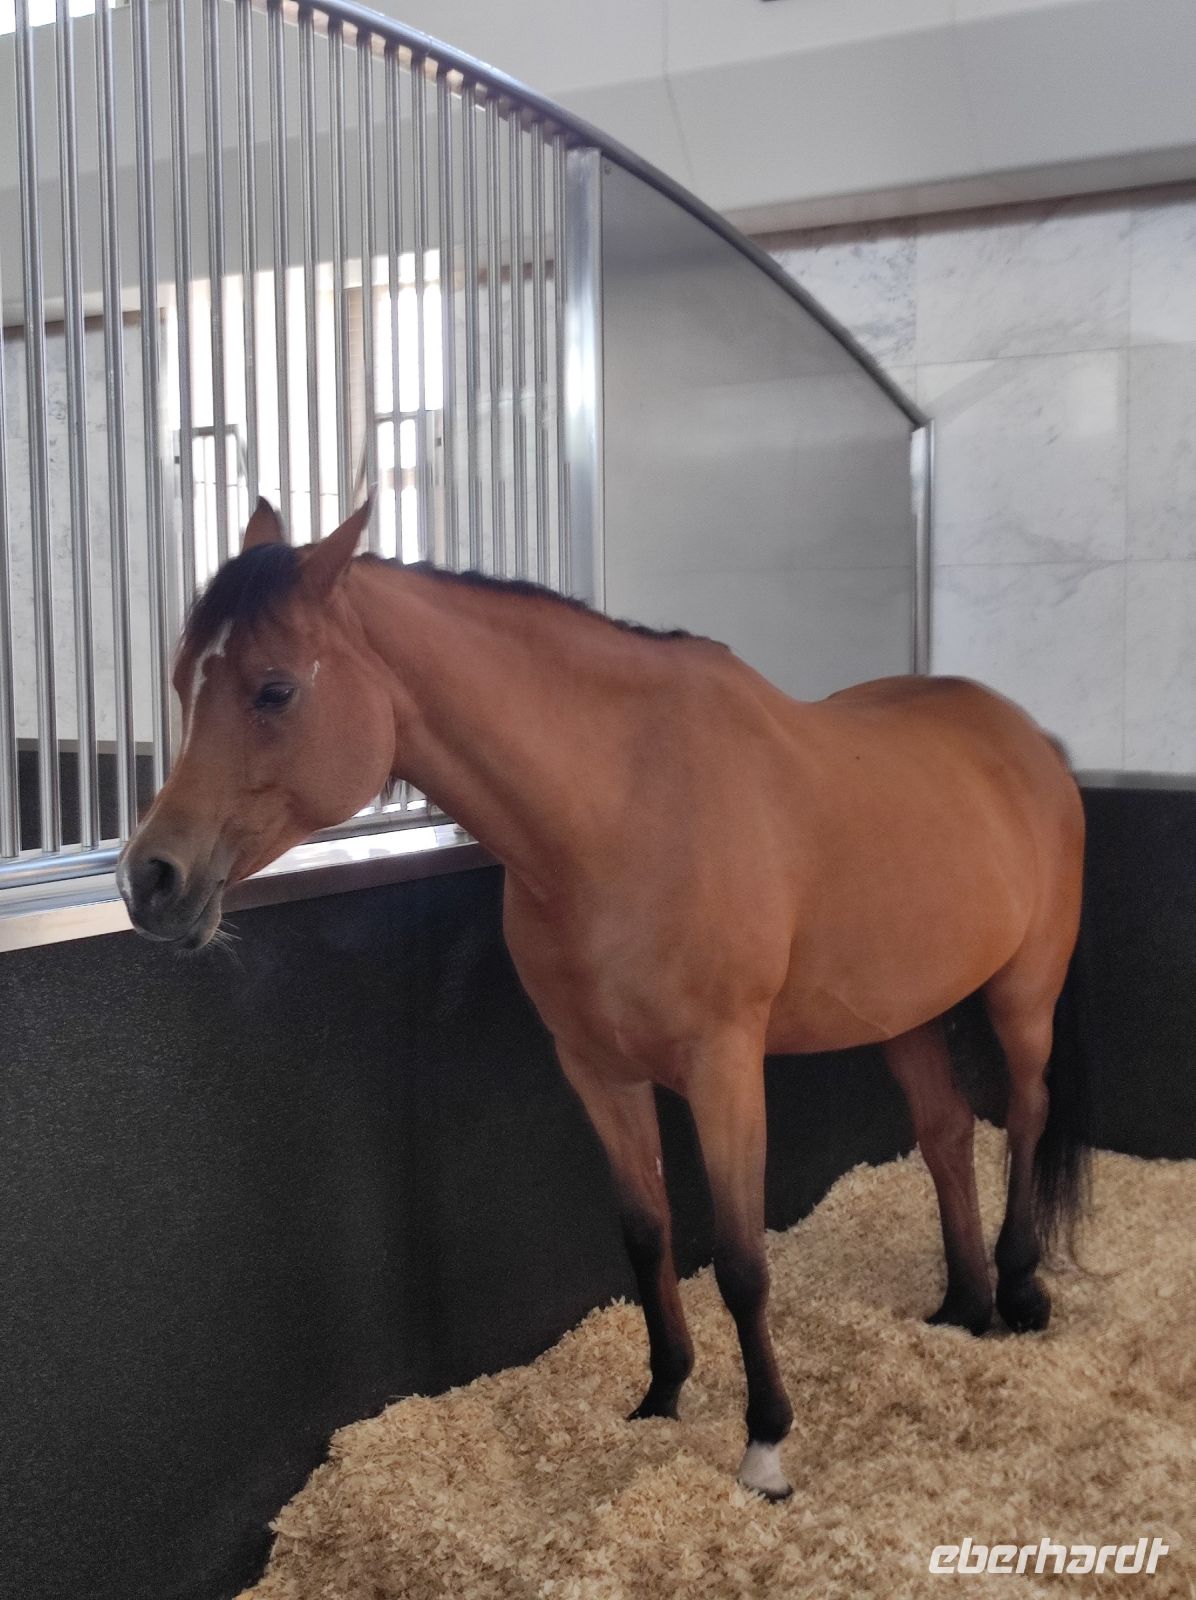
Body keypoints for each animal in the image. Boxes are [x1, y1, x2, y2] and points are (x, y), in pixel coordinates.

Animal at [119, 499, 1090, 1502]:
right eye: (184, 683)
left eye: (274, 691)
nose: (149, 881)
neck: (623, 808)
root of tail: (1028, 739)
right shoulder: (595, 1067)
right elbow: (644, 1229)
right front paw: (662, 1394)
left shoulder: (725, 1068)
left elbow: (741, 1260)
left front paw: (766, 1448)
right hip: (906, 1012)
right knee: (945, 1133)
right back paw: (963, 1304)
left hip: (1026, 991)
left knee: (1026, 1111)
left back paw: (1021, 1291)